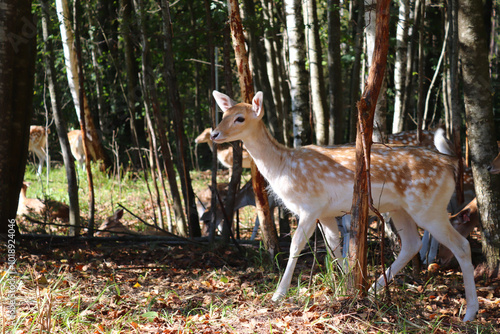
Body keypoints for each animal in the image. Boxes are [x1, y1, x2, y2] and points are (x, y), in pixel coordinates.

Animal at [209, 90, 478, 320]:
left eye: (240, 118)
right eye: (223, 115)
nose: (214, 134)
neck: (283, 167)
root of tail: (450, 164)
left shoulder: (310, 206)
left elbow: (296, 246)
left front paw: (278, 295)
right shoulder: (326, 213)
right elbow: (333, 246)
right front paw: (344, 286)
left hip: (429, 207)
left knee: (461, 245)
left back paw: (470, 313)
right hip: (400, 208)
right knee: (412, 243)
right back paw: (372, 291)